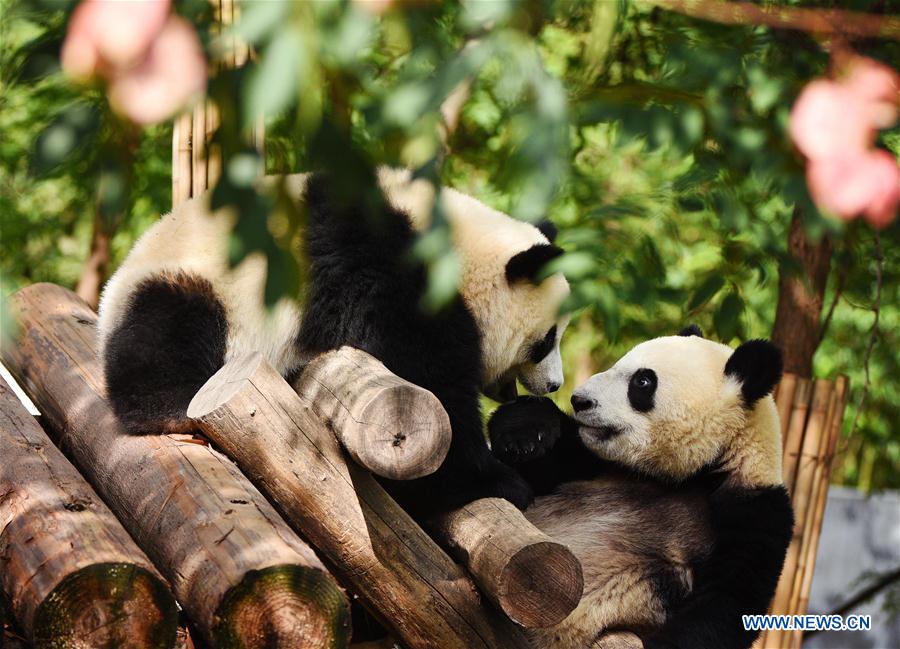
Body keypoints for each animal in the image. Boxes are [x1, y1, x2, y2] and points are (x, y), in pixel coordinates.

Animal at [93, 167, 568, 516]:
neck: (456, 250)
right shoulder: (383, 269)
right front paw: (493, 480)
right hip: (201, 286)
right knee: (167, 336)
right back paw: (171, 405)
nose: (555, 385)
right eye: (545, 341)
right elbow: (428, 379)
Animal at [488, 326, 792, 648]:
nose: (578, 400)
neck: (699, 472)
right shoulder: (598, 464)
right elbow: (529, 476)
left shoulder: (756, 513)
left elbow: (726, 603)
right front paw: (524, 431)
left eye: (642, 381)